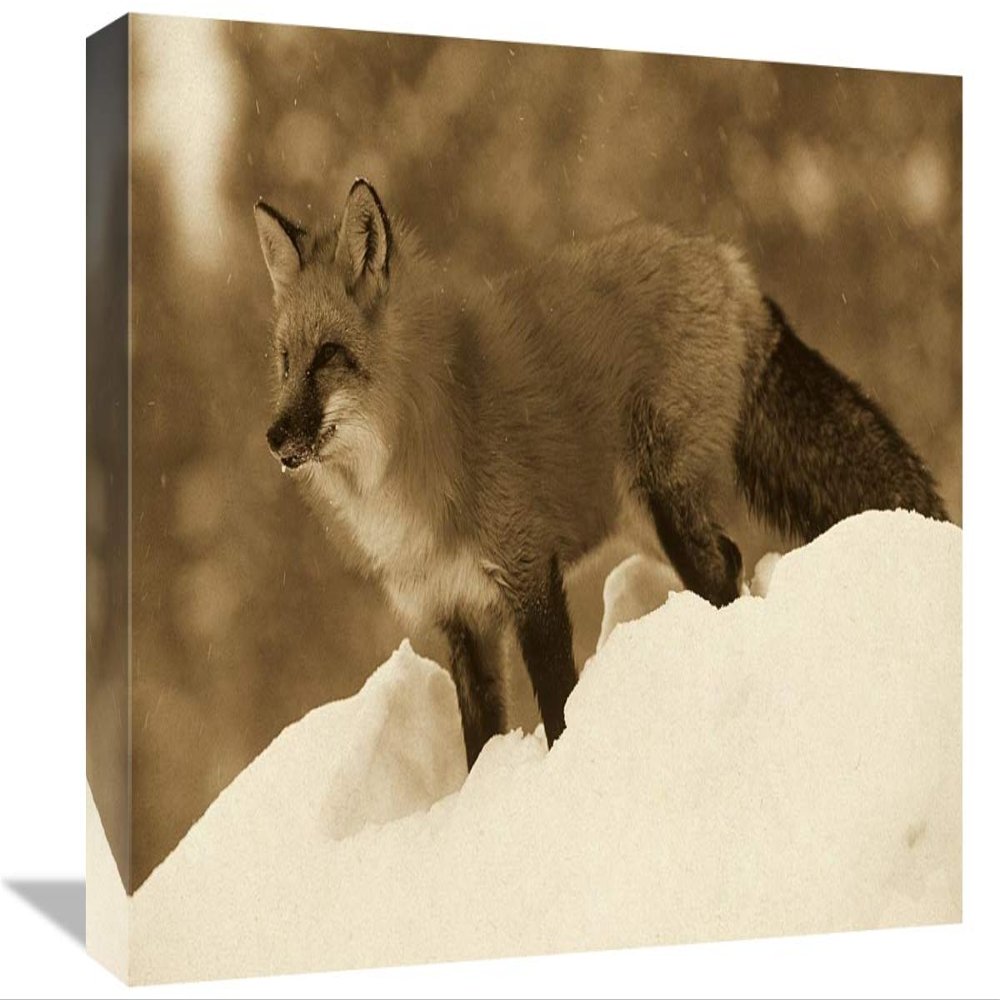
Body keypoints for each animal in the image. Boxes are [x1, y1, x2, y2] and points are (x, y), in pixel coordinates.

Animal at [254, 178, 948, 769]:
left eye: (328, 356)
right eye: (286, 362)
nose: (273, 437)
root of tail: (722, 258)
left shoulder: (528, 570)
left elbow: (557, 695)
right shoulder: (458, 614)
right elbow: (480, 738)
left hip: (664, 498)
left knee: (720, 564)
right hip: (646, 518)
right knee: (727, 557)